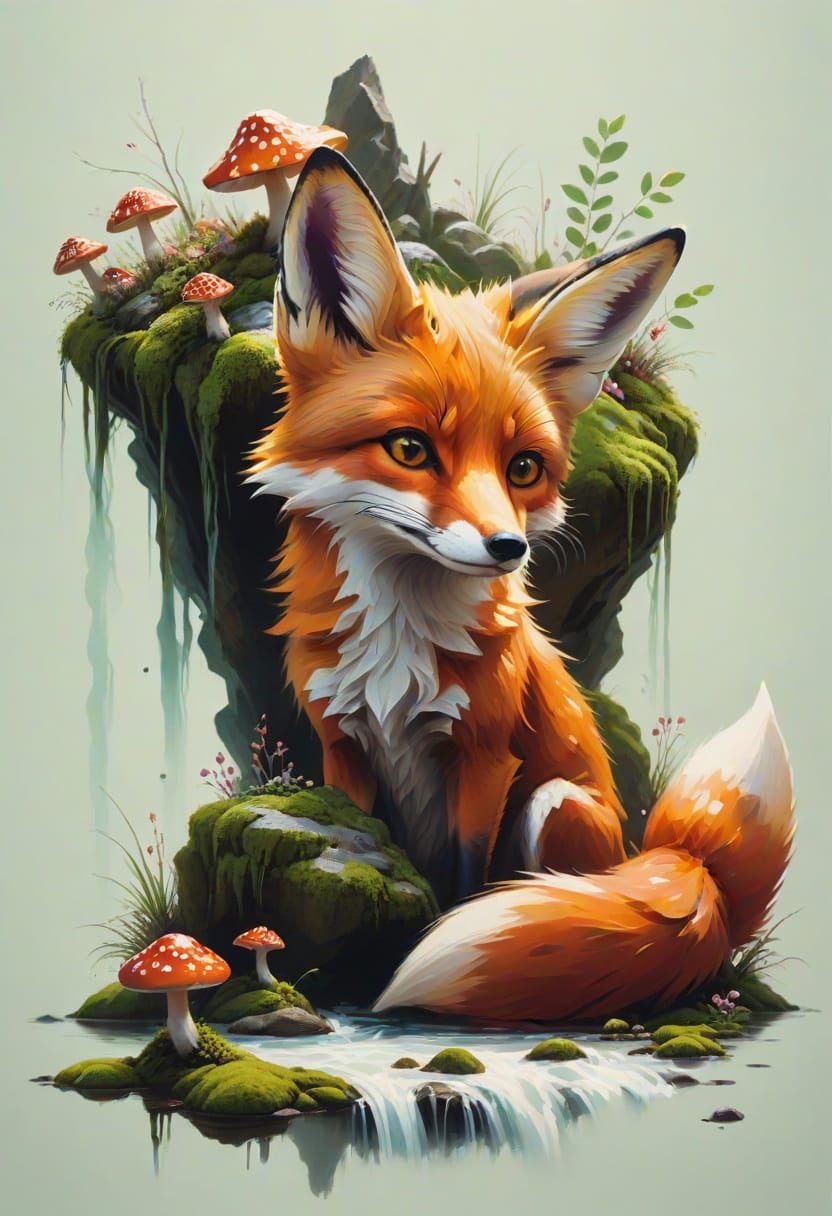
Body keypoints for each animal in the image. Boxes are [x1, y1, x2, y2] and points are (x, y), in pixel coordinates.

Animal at [247, 147, 794, 1022]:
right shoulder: (343, 746)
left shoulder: (485, 756)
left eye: (524, 468)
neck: (398, 643)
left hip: (558, 805)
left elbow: (467, 886)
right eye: (410, 449)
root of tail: (683, 871)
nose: (506, 547)